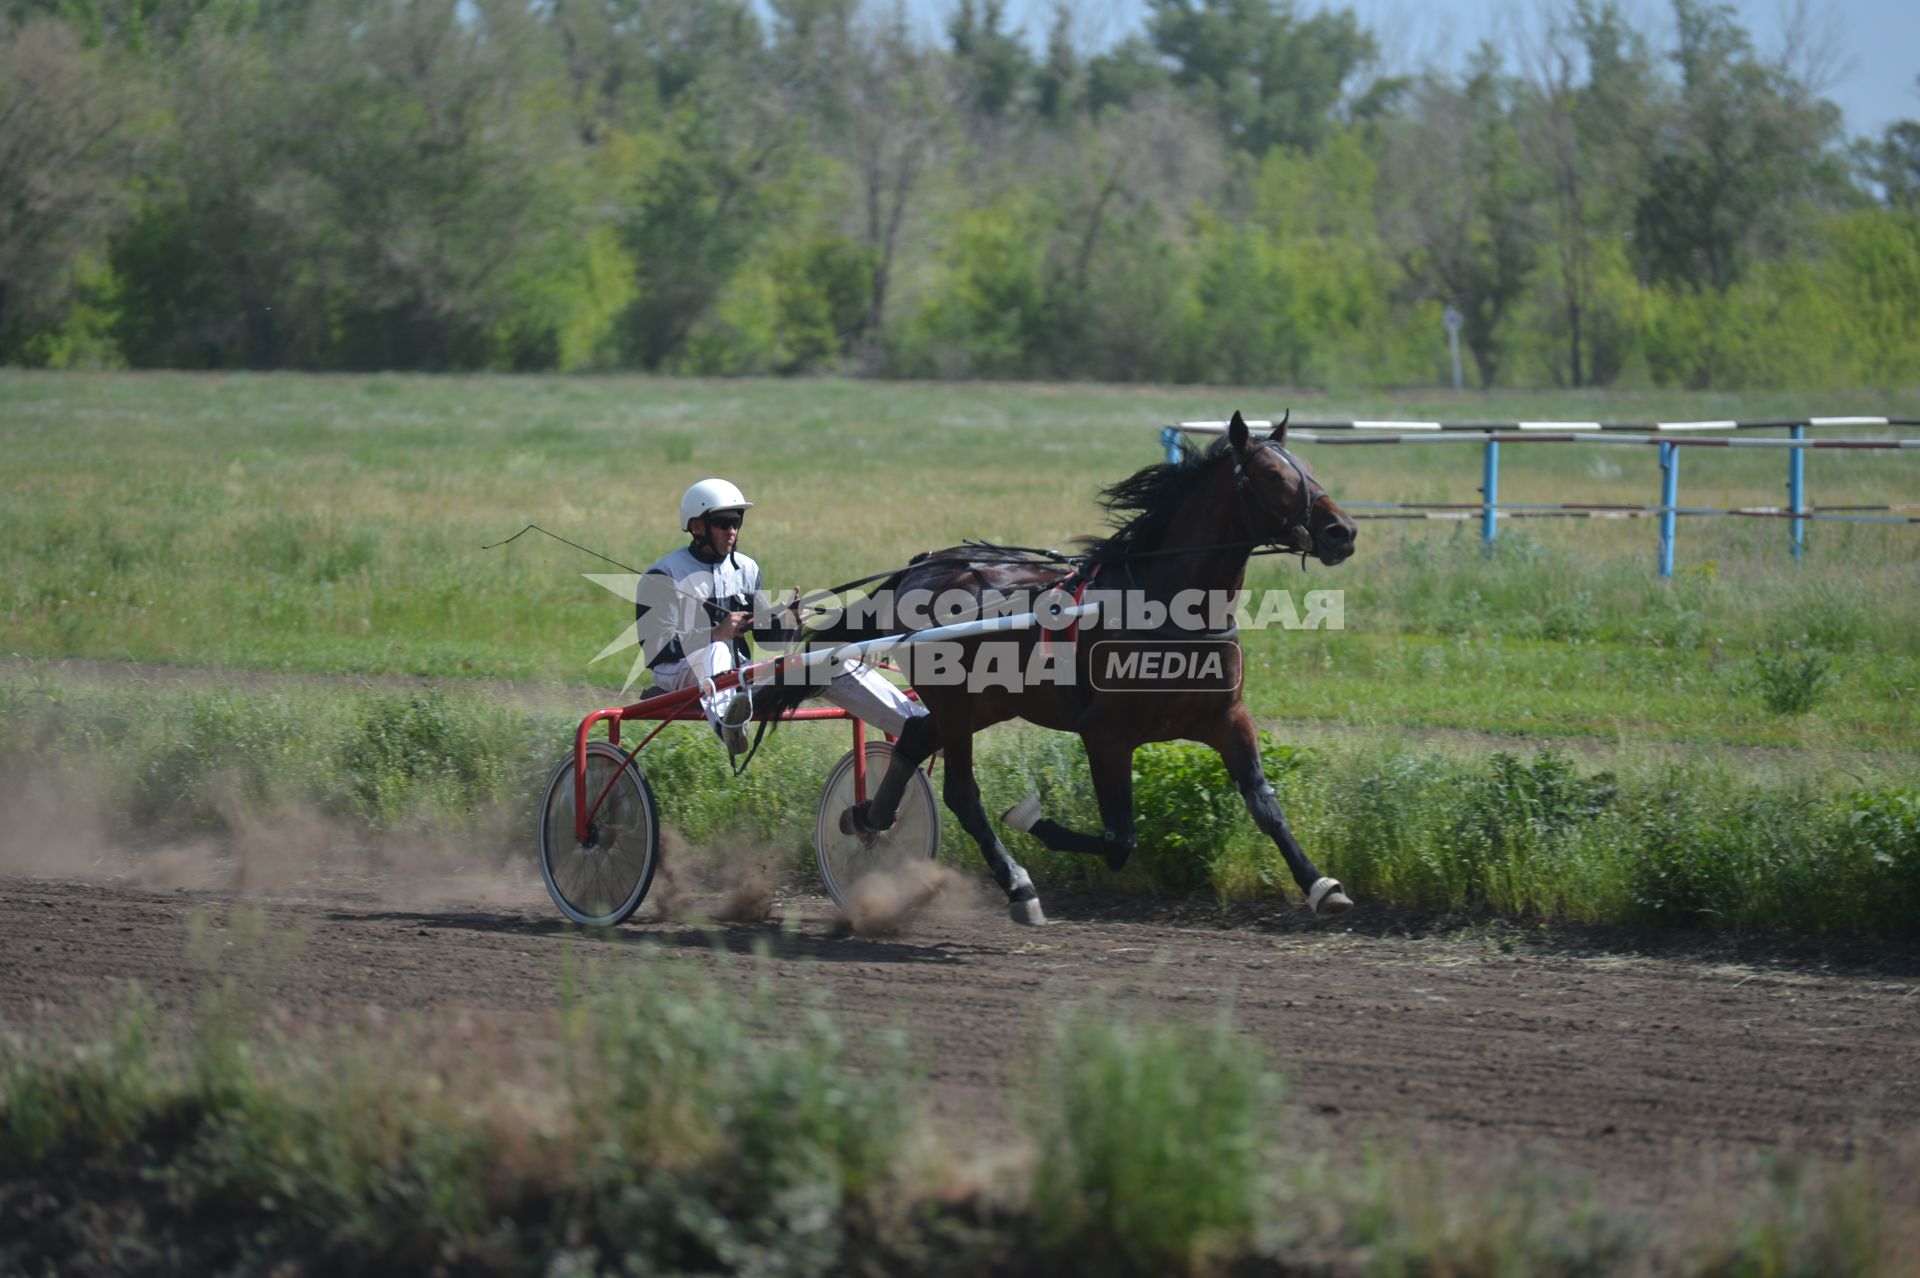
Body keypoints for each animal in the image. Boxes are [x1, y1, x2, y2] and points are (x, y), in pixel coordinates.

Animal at [756, 412, 1359, 921]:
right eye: (1273, 475)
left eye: (1309, 469)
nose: (1342, 532)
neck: (1165, 606)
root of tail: (919, 569)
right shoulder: (1106, 733)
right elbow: (1120, 838)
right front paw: (1029, 818)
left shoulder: (1226, 719)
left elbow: (1265, 805)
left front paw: (1320, 884)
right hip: (957, 703)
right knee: (961, 793)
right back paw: (1017, 886)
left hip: (986, 702)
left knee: (914, 738)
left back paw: (868, 820)